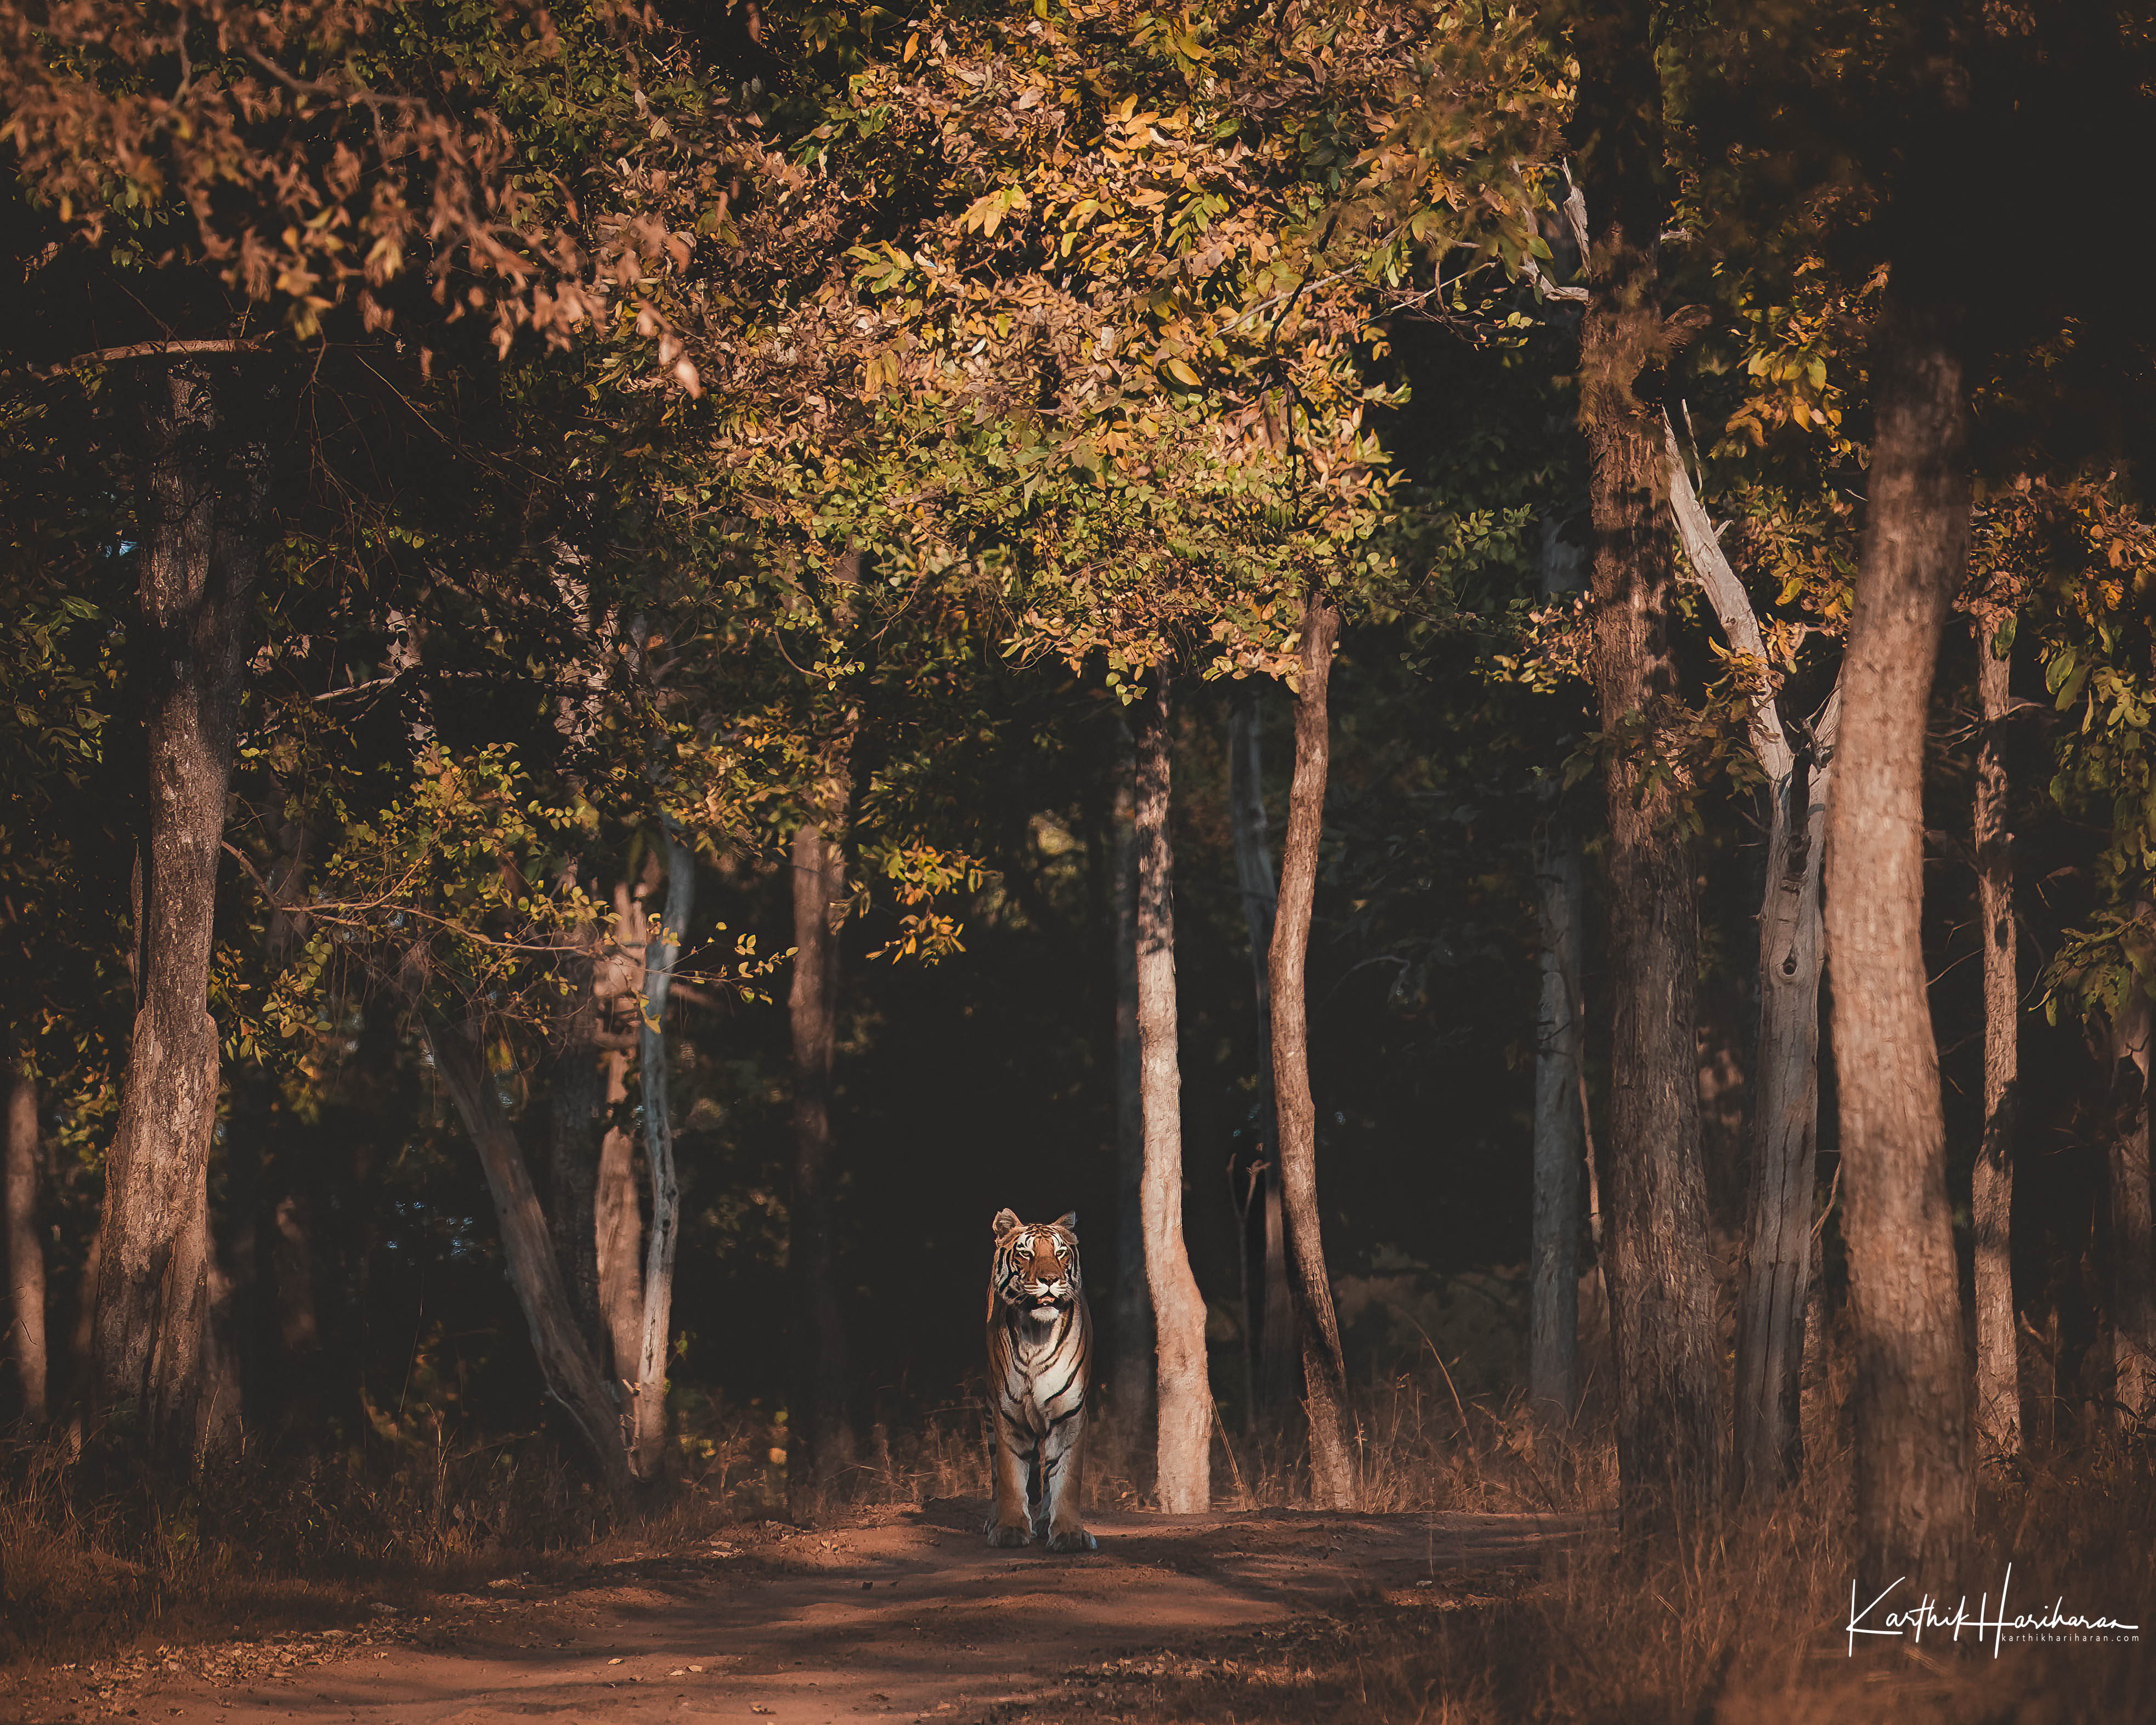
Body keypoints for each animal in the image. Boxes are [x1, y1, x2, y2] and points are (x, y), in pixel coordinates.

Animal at [984, 1208, 1097, 1553]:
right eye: (1026, 1253)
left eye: (1060, 1253)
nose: (1050, 1280)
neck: (1036, 1333)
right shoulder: (1006, 1413)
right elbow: (1010, 1474)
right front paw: (1009, 1529)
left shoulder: (1070, 1412)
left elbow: (1067, 1476)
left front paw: (1070, 1534)